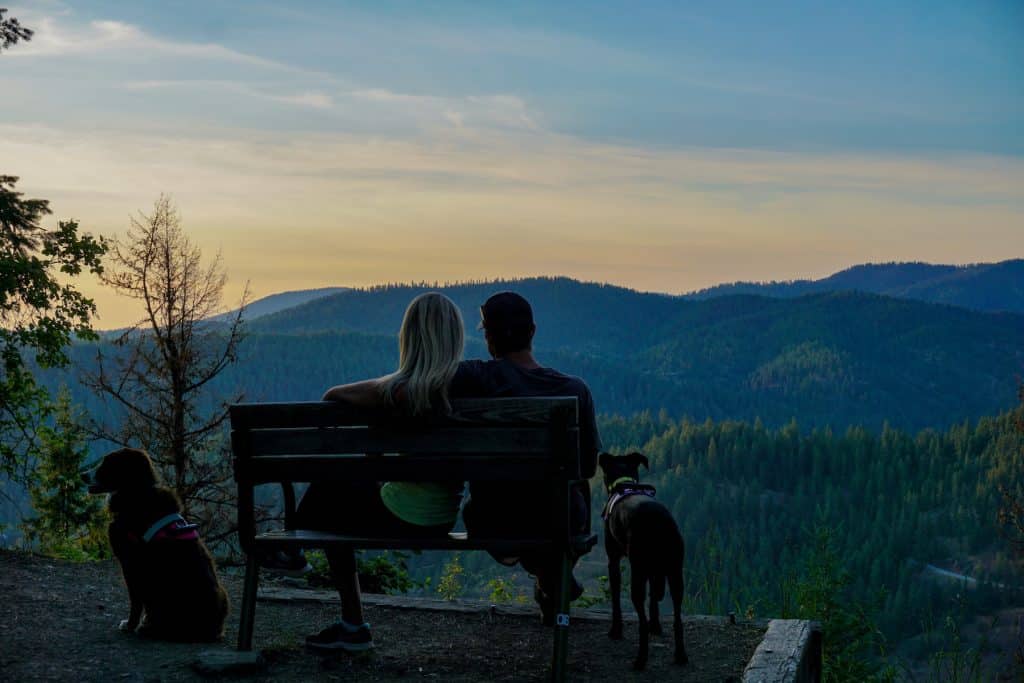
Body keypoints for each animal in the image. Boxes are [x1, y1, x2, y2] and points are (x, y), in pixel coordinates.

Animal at [82, 448, 229, 643]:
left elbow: (136, 601)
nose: (83, 475)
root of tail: (210, 631)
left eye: (107, 464)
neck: (137, 492)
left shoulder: (131, 563)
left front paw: (130, 625)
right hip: (223, 593)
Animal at [598, 450, 688, 671]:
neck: (625, 484)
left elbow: (615, 598)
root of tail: (658, 523)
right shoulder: (653, 570)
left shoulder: (614, 561)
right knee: (677, 618)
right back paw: (680, 655)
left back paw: (641, 659)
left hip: (638, 574)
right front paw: (656, 625)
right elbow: (654, 597)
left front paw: (616, 630)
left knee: (641, 619)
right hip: (675, 573)